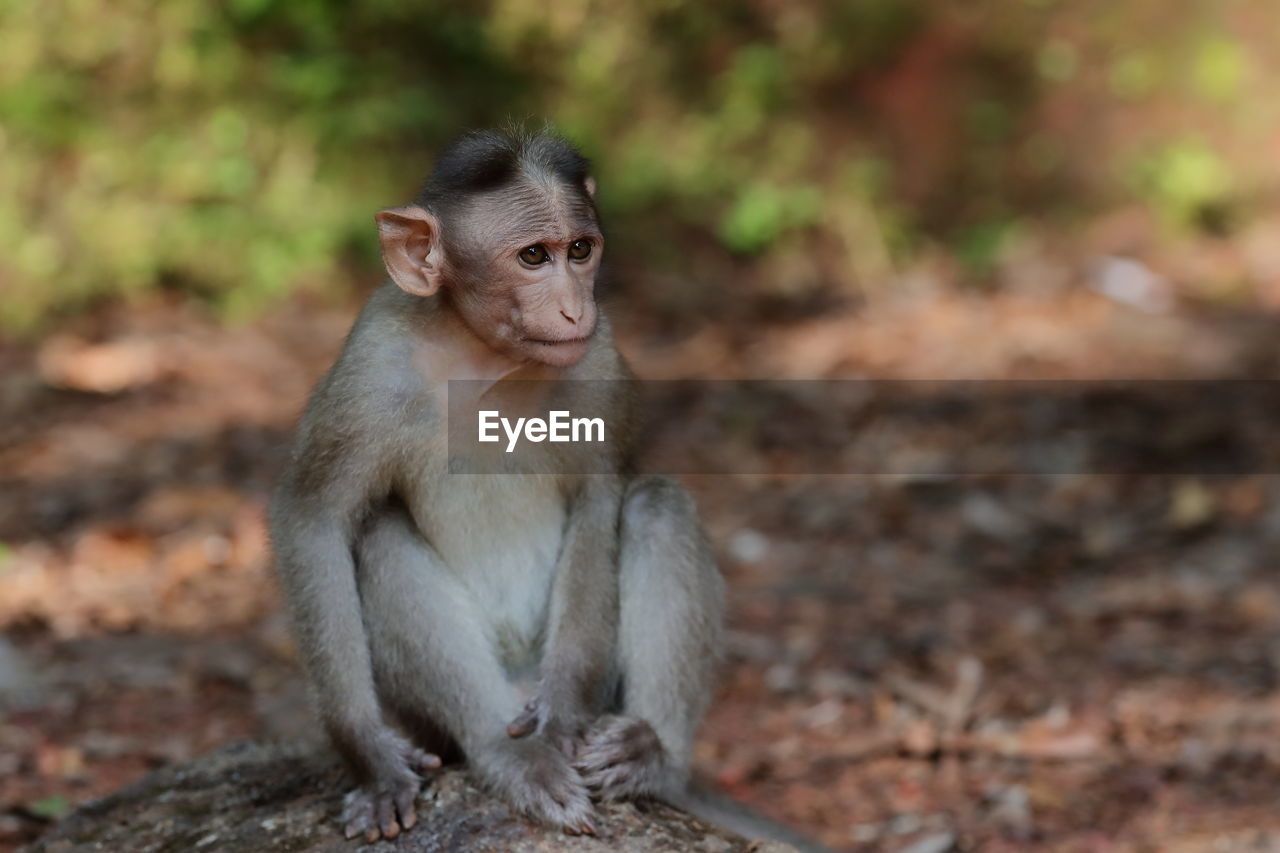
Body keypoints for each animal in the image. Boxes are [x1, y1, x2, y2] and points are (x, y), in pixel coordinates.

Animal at [271, 128, 829, 850]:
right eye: (533, 255)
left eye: (580, 250)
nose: (575, 305)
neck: (484, 359)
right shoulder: (371, 371)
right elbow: (315, 519)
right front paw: (370, 756)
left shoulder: (600, 363)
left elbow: (600, 497)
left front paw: (564, 710)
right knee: (378, 537)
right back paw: (508, 754)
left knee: (656, 506)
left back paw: (652, 756)